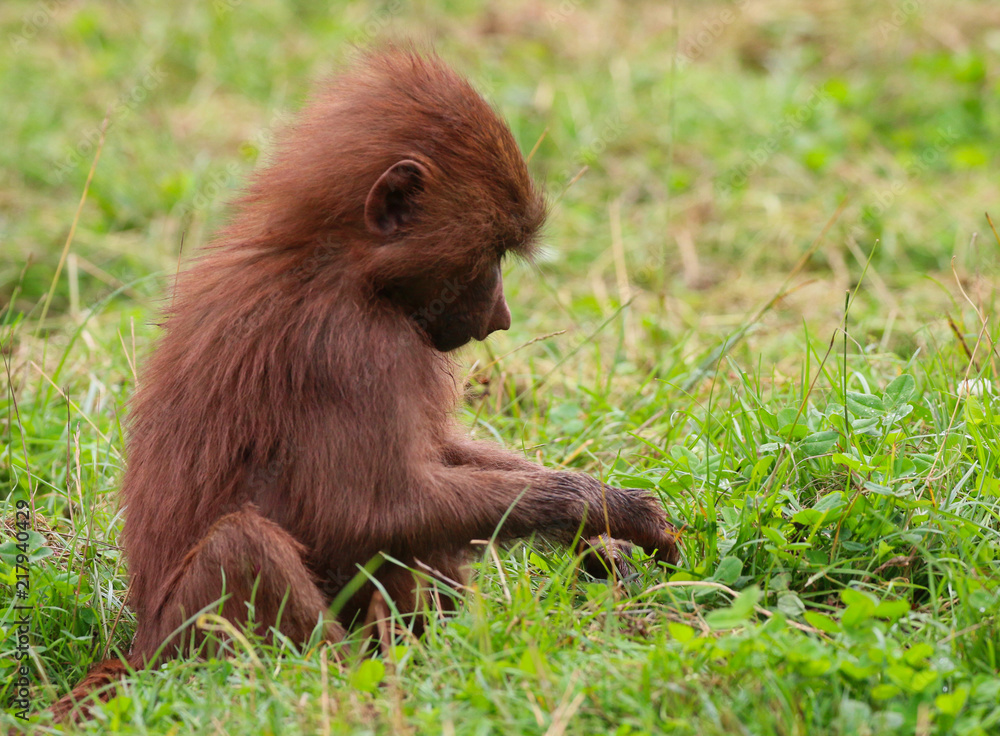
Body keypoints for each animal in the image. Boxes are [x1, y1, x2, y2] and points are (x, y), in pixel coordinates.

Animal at [50, 46, 679, 721]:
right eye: (492, 254)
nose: (500, 318)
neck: (338, 261)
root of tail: (138, 647)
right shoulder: (351, 346)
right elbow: (363, 510)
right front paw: (599, 509)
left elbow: (432, 457)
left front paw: (601, 533)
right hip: (183, 636)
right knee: (246, 544)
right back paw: (361, 681)